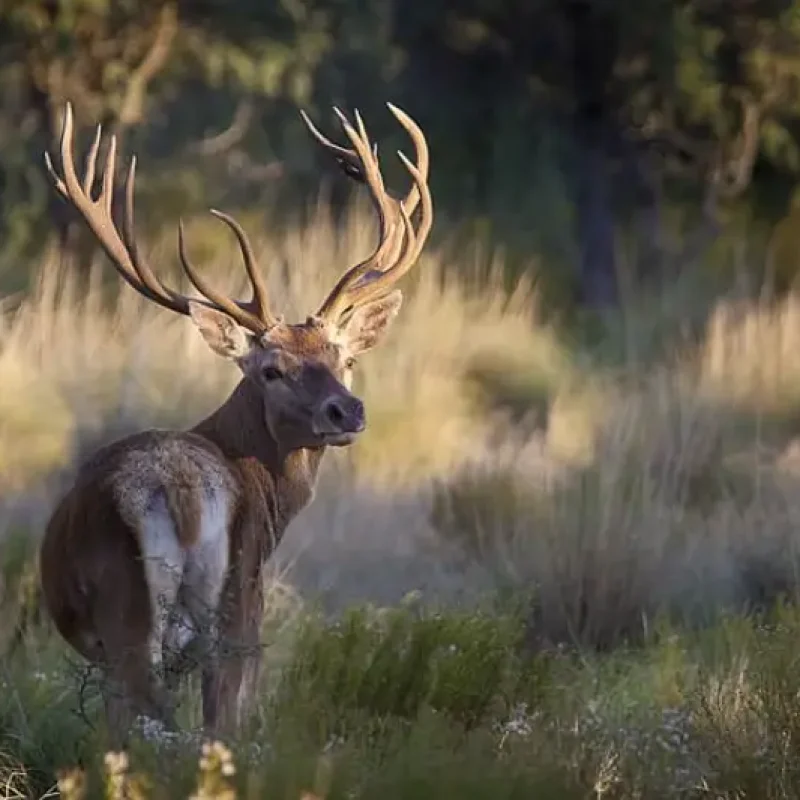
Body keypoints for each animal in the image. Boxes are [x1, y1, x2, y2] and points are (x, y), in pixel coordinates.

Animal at [37, 100, 432, 746]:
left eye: (344, 359)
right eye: (272, 370)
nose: (347, 410)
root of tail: (177, 490)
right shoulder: (253, 598)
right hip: (201, 610)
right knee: (194, 727)